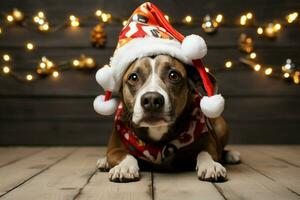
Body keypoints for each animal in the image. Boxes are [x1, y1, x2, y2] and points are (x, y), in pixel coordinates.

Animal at [96, 54, 241, 182]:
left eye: (173, 75)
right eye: (133, 77)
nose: (152, 99)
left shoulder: (209, 142)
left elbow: (206, 152)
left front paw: (211, 165)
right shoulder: (114, 148)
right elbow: (123, 154)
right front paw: (124, 167)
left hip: (221, 125)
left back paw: (231, 154)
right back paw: (104, 162)